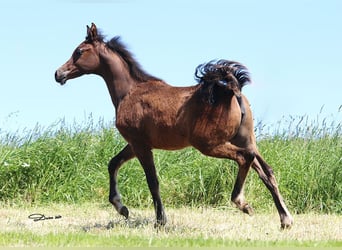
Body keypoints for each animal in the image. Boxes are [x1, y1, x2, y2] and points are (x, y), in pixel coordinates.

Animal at [55, 23, 294, 229]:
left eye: (79, 51)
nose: (58, 74)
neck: (130, 92)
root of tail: (231, 90)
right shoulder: (135, 144)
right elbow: (113, 163)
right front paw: (122, 208)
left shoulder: (141, 145)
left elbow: (152, 181)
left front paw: (160, 221)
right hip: (245, 139)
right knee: (267, 171)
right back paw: (285, 220)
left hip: (210, 144)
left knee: (245, 158)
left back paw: (242, 203)